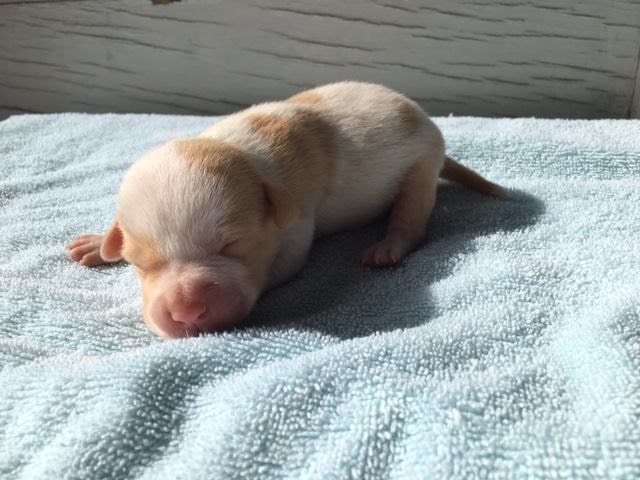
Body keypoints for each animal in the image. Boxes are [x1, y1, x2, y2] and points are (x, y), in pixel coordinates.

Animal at [67, 81, 508, 338]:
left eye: (232, 245)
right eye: (141, 265)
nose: (186, 312)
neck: (243, 153)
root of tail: (423, 117)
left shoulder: (296, 225)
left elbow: (286, 263)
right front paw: (98, 244)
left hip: (420, 167)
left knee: (412, 218)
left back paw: (389, 245)